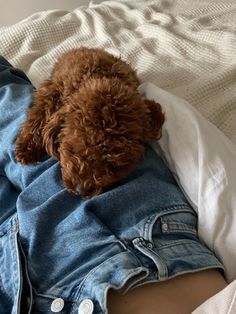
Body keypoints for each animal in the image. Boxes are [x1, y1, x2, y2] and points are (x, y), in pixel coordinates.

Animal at [15, 47, 164, 197]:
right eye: (75, 148)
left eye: (113, 166)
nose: (81, 190)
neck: (100, 78)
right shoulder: (52, 91)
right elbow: (39, 115)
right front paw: (26, 149)